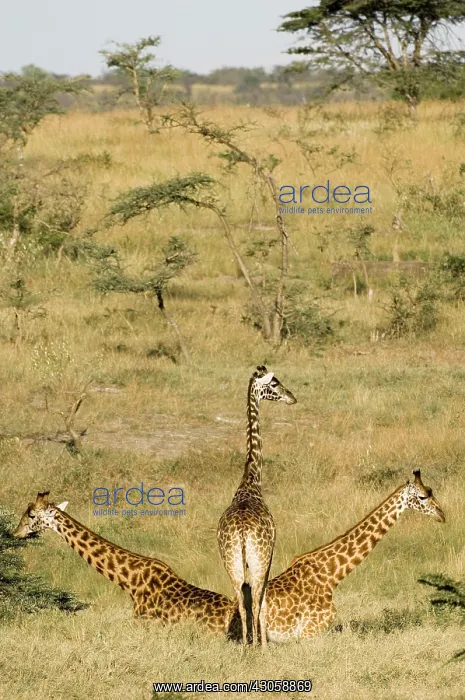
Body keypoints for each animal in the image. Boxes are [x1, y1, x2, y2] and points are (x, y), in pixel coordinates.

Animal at [217, 365, 297, 647]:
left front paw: (251, 641)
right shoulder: (270, 554)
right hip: (258, 560)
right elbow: (260, 601)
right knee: (257, 600)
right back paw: (259, 646)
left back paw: (244, 646)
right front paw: (262, 643)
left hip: (230, 562)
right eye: (274, 384)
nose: (292, 397)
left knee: (242, 602)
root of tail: (242, 533)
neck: (251, 482)